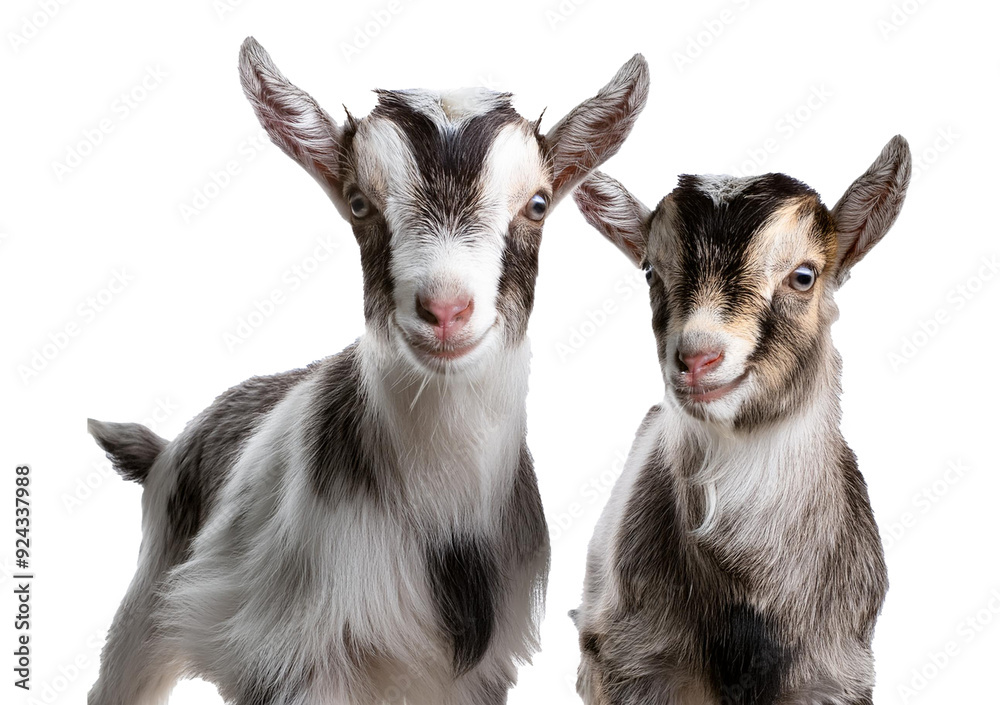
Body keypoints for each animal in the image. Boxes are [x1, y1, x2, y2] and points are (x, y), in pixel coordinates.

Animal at [86, 37, 649, 705]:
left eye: (537, 204)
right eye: (358, 202)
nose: (445, 309)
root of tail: (169, 445)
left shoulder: (477, 674)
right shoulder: (286, 660)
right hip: (150, 598)